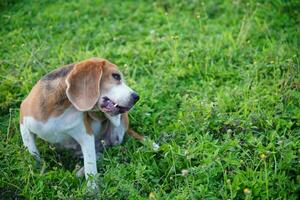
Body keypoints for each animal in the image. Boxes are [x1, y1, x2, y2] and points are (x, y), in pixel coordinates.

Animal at [20, 57, 144, 188]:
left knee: (103, 152)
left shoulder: (86, 136)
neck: (60, 107)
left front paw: (92, 190)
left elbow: (91, 167)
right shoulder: (24, 124)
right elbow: (33, 154)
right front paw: (37, 171)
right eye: (116, 76)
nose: (136, 97)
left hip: (118, 129)